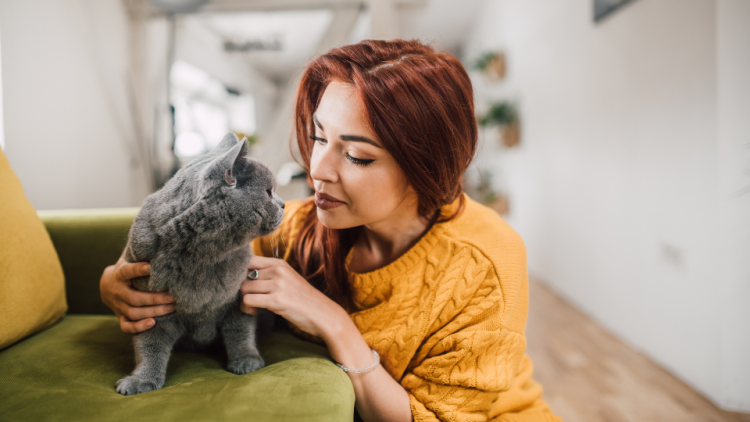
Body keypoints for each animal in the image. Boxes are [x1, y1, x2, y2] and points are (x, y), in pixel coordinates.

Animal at [117, 134, 284, 396]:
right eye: (268, 192)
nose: (284, 204)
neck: (202, 256)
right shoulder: (150, 306)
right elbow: (149, 345)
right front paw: (141, 380)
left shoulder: (238, 298)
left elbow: (240, 331)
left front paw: (247, 361)